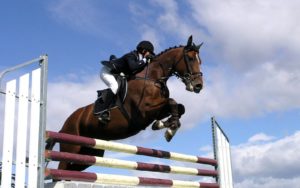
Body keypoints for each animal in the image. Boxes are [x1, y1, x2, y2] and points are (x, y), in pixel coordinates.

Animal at [53, 34, 204, 171]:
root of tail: (64, 125)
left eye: (200, 61)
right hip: (71, 146)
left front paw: (166, 125)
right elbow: (172, 102)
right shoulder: (143, 112)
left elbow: (180, 107)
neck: (153, 78)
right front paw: (169, 129)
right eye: (190, 59)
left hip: (91, 152)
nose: (198, 86)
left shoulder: (157, 111)